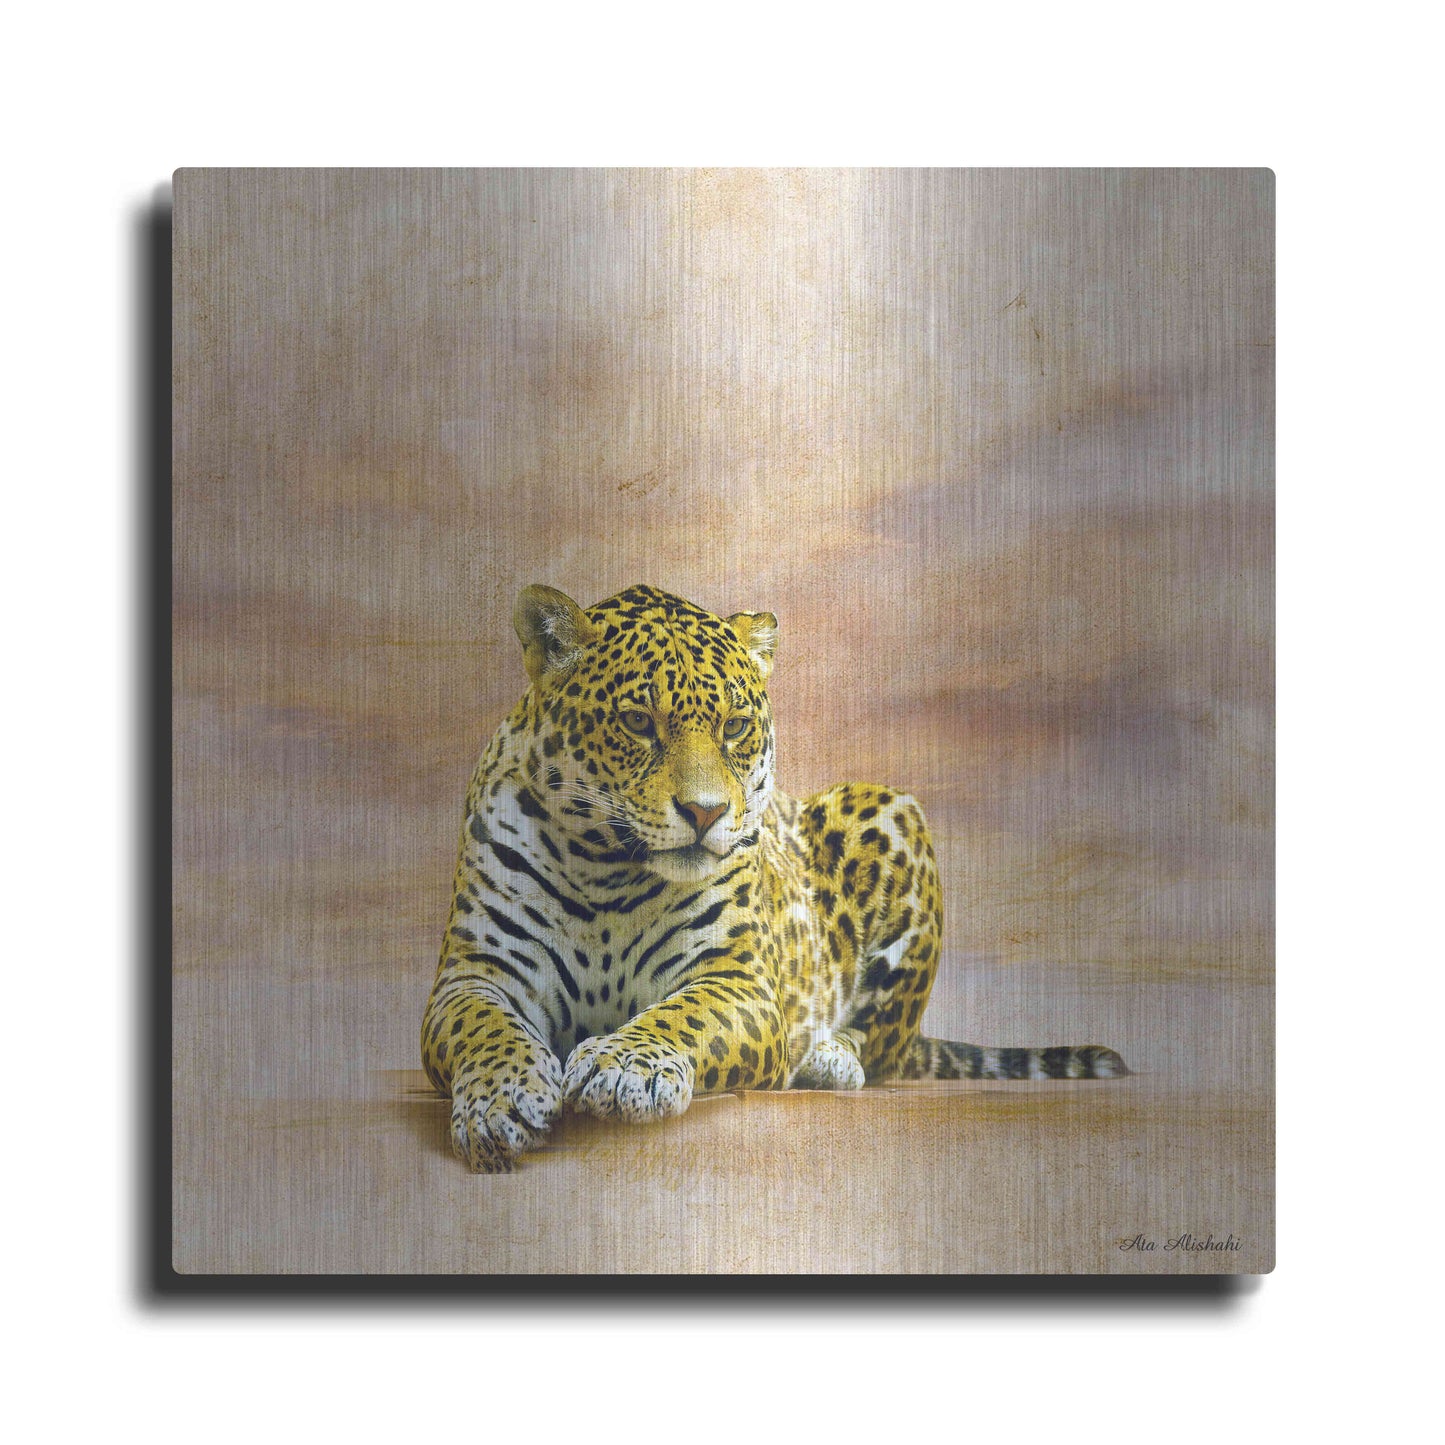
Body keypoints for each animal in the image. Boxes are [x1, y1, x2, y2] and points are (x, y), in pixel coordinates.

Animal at [421, 583, 1128, 1172]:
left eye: (734, 727)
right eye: (638, 722)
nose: (706, 812)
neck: (607, 872)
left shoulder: (739, 982)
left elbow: (681, 1014)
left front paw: (624, 1067)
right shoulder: (474, 975)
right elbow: (483, 1030)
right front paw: (500, 1101)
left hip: (889, 808)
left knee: (881, 1043)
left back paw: (826, 1060)